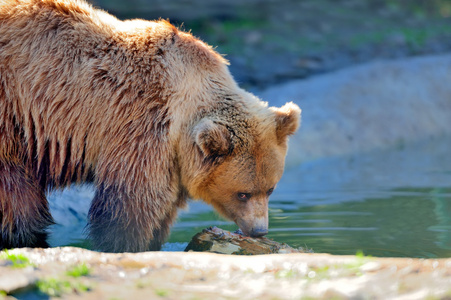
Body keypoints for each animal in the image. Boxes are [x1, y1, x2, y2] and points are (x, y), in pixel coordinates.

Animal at [1, 0, 302, 253]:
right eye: (243, 194)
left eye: (270, 189)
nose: (259, 230)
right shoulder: (142, 124)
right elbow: (132, 202)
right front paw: (124, 245)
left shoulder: (172, 159)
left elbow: (162, 208)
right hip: (14, 112)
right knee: (16, 192)